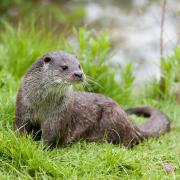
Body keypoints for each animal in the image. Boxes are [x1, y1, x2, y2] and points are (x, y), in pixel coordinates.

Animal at [13, 50, 170, 148]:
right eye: (64, 67)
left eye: (79, 65)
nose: (79, 74)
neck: (42, 104)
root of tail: (132, 124)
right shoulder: (23, 107)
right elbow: (20, 128)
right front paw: (20, 141)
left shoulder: (58, 116)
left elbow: (51, 136)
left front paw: (39, 147)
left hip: (113, 117)